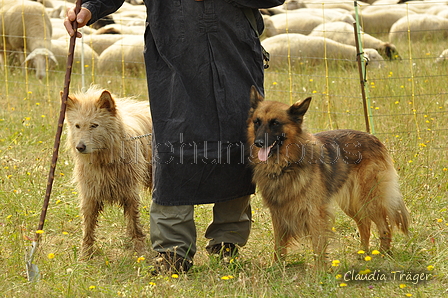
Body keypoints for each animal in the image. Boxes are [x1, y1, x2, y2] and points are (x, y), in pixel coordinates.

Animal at [65, 85, 152, 256]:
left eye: (94, 125)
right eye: (77, 126)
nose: (80, 147)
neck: (104, 161)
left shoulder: (130, 193)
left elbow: (134, 223)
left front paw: (139, 249)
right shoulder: (90, 195)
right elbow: (88, 226)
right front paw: (86, 254)